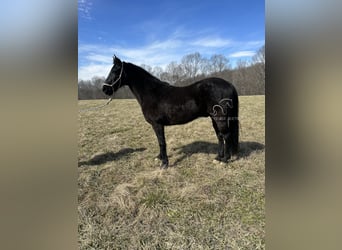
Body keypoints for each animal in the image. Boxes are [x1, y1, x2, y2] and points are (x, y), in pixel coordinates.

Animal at [103, 56, 239, 169]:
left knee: (226, 135)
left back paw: (225, 160)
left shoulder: (157, 124)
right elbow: (159, 141)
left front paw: (164, 164)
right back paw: (218, 158)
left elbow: (161, 142)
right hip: (213, 118)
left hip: (220, 118)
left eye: (116, 70)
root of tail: (230, 85)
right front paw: (159, 158)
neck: (151, 92)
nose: (104, 89)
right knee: (220, 136)